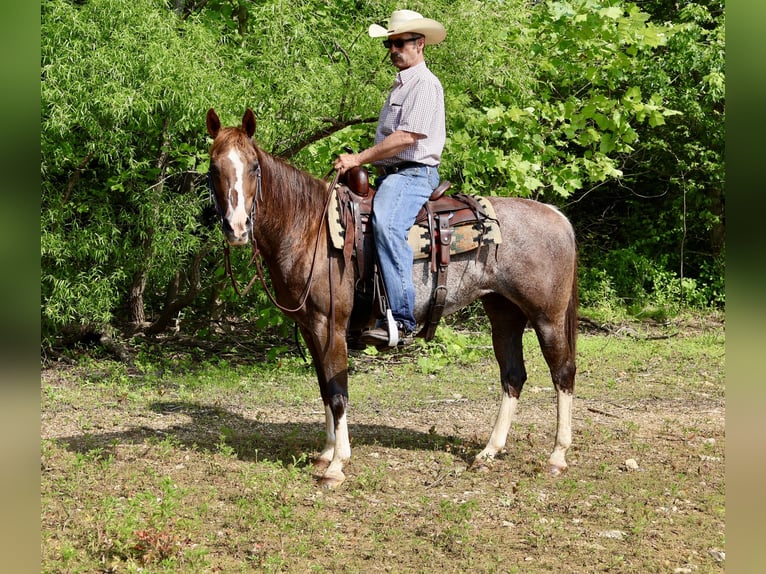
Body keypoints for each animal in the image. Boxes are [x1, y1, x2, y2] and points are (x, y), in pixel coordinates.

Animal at [205, 108, 578, 489]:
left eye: (254, 167)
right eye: (214, 167)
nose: (236, 227)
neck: (309, 229)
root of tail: (556, 216)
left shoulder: (331, 326)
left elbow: (338, 393)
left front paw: (337, 465)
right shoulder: (311, 328)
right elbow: (324, 388)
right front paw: (326, 453)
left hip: (547, 318)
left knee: (563, 372)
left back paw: (557, 456)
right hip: (504, 313)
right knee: (513, 376)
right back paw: (488, 452)